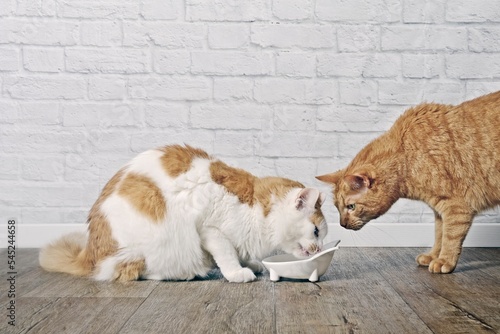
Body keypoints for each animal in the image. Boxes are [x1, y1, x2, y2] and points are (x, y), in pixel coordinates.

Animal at [40, 145, 328, 284]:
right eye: (316, 232)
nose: (319, 249)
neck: (258, 210)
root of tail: (90, 253)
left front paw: (252, 264)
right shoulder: (210, 230)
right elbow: (227, 254)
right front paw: (237, 273)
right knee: (133, 272)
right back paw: (184, 274)